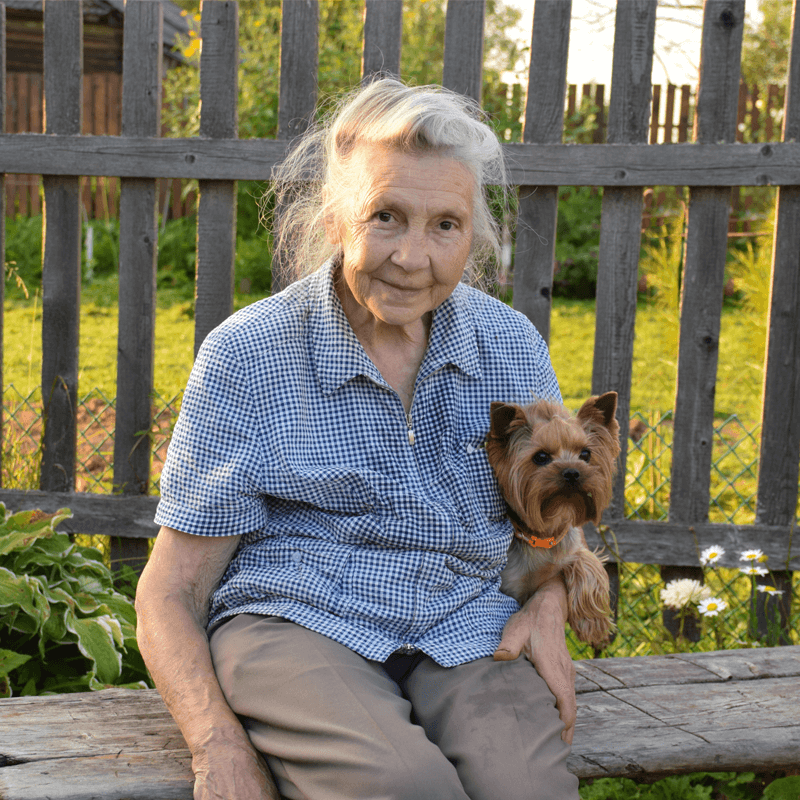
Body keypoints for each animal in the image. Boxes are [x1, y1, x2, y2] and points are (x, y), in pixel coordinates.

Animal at [484, 390, 620, 648]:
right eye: (541, 457)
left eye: (585, 454)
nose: (572, 472)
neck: (542, 534)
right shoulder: (511, 584)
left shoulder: (564, 553)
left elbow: (587, 561)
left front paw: (593, 623)